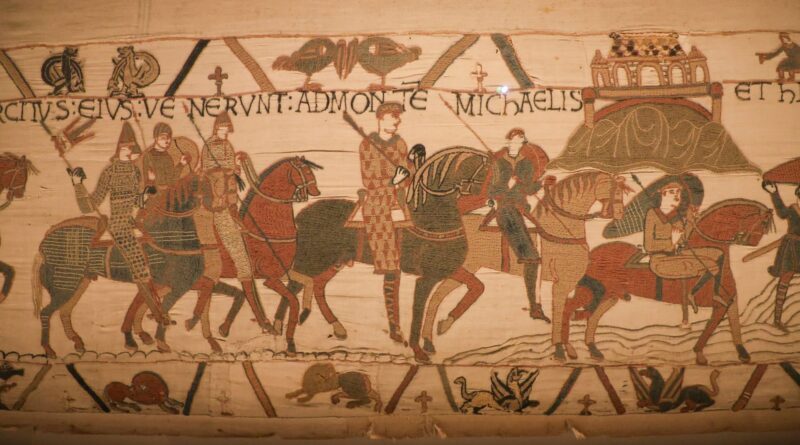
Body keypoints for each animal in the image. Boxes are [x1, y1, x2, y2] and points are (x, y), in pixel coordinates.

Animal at [32, 174, 206, 358]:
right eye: (204, 184)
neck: (169, 239)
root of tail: (43, 245)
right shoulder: (176, 285)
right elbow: (160, 306)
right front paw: (157, 340)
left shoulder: (171, 284)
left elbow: (148, 304)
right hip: (64, 284)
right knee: (46, 312)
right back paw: (49, 349)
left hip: (80, 282)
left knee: (64, 311)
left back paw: (77, 341)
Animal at [123, 156, 321, 354]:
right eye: (306, 170)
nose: (316, 191)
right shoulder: (269, 277)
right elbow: (290, 300)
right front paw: (287, 338)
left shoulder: (280, 273)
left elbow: (306, 282)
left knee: (144, 296)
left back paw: (143, 332)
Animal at [272, 147, 489, 362]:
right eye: (484, 173)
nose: (490, 200)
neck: (434, 219)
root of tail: (302, 214)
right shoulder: (425, 278)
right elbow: (418, 310)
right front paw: (418, 351)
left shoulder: (447, 270)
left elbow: (477, 287)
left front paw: (442, 326)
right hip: (312, 259)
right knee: (294, 285)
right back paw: (280, 330)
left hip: (334, 261)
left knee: (317, 285)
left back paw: (336, 327)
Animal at [417, 171, 629, 356]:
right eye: (615, 191)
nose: (620, 214)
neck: (561, 228)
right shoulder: (561, 284)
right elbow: (560, 311)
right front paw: (559, 349)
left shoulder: (572, 282)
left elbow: (573, 305)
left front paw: (569, 347)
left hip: (468, 267)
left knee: (438, 295)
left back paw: (432, 337)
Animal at [561, 199, 775, 365]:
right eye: (763, 223)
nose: (754, 243)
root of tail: (592, 254)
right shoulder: (717, 302)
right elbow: (712, 325)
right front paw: (699, 353)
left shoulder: (730, 299)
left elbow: (734, 321)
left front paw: (743, 353)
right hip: (591, 291)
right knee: (569, 306)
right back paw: (568, 349)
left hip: (609, 295)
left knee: (593, 316)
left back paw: (593, 350)